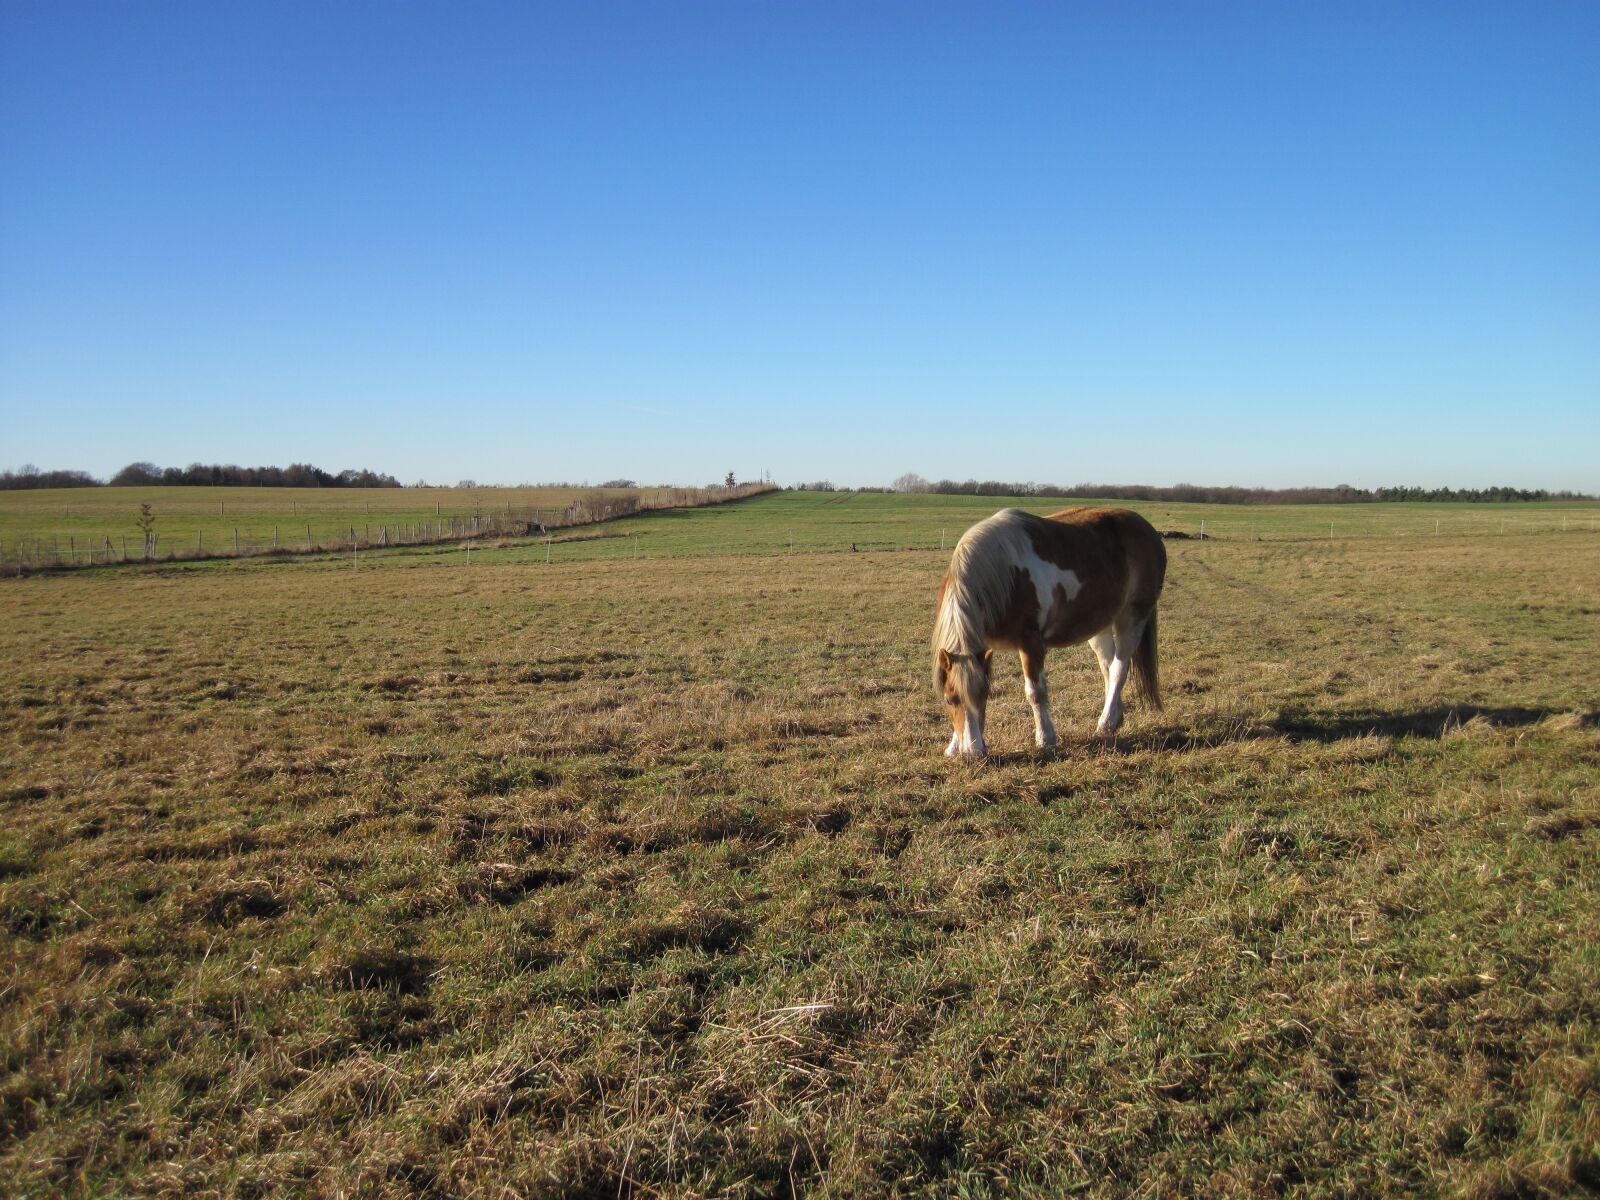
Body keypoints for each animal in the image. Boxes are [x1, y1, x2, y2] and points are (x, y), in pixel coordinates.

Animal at [934, 508, 1164, 755]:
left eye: (984, 696)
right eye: (948, 700)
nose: (973, 752)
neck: (1007, 574)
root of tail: (1148, 529)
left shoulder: (1030, 643)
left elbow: (1035, 692)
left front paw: (1045, 739)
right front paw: (953, 746)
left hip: (1133, 617)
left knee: (1119, 669)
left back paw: (1105, 723)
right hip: (1100, 625)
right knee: (1109, 667)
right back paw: (1114, 720)